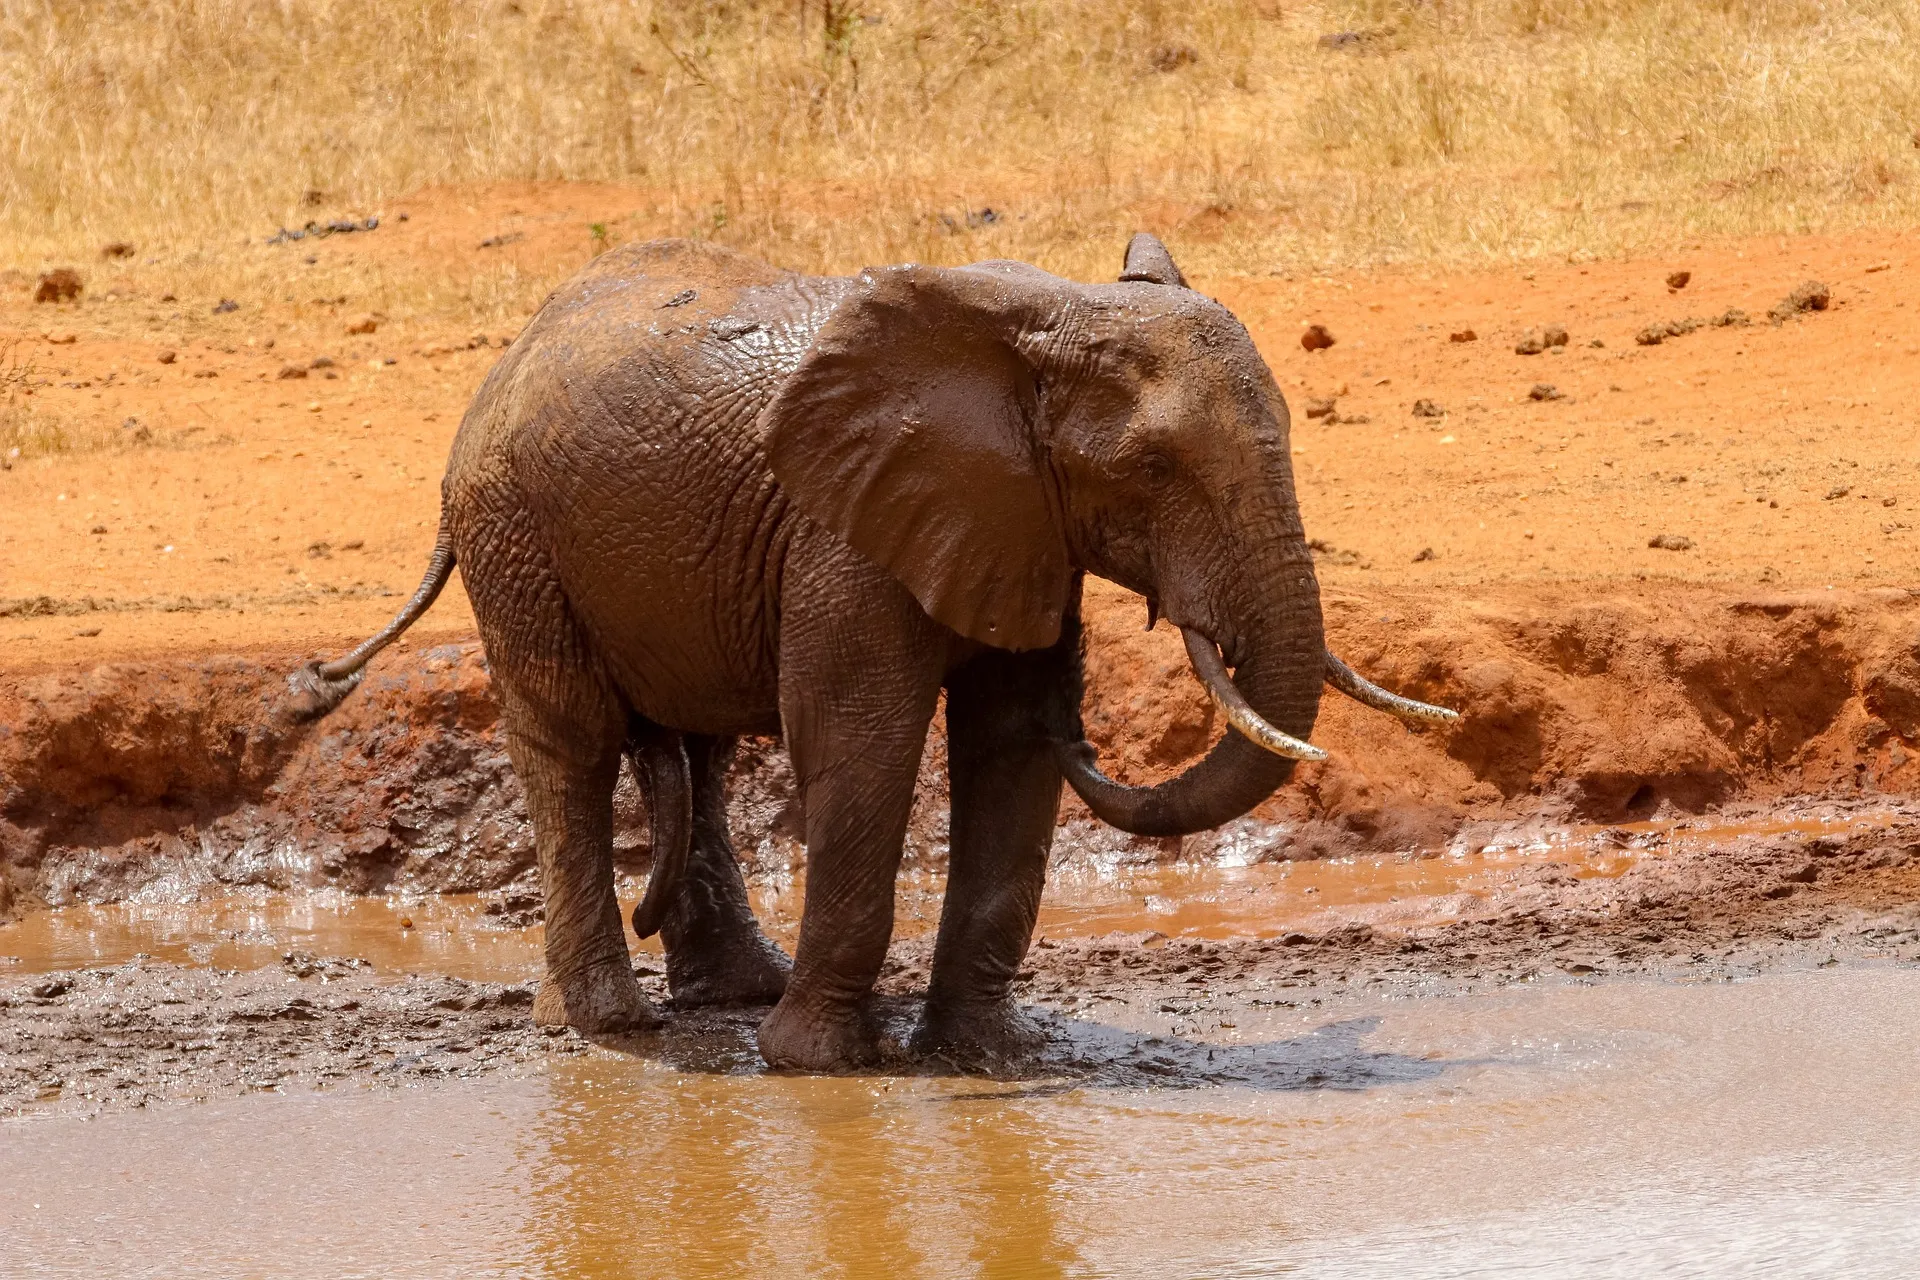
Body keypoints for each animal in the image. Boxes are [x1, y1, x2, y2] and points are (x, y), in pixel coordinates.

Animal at [291, 230, 1443, 1074]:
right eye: (1153, 468)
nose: (1095, 737)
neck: (1038, 327)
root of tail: (508, 355)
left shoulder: (1018, 515)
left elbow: (1009, 746)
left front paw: (989, 1055)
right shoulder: (844, 531)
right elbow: (860, 739)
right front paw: (818, 1064)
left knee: (698, 751)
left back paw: (726, 992)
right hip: (513, 527)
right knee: (571, 740)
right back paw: (606, 1025)